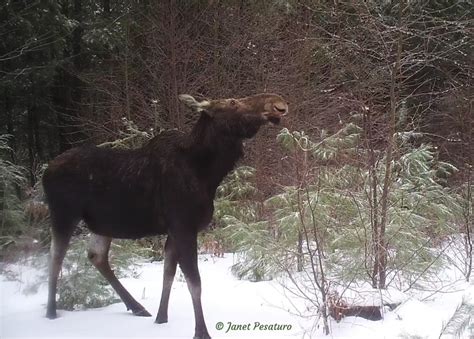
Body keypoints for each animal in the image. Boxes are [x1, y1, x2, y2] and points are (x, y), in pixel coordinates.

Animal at [43, 93, 288, 339]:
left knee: (96, 255)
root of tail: (46, 171)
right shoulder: (183, 226)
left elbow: (168, 274)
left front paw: (162, 318)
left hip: (102, 223)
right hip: (63, 213)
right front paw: (201, 332)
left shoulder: (174, 230)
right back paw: (51, 313)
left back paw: (137, 307)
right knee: (55, 255)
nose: (278, 104)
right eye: (232, 102)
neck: (207, 174)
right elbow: (194, 281)